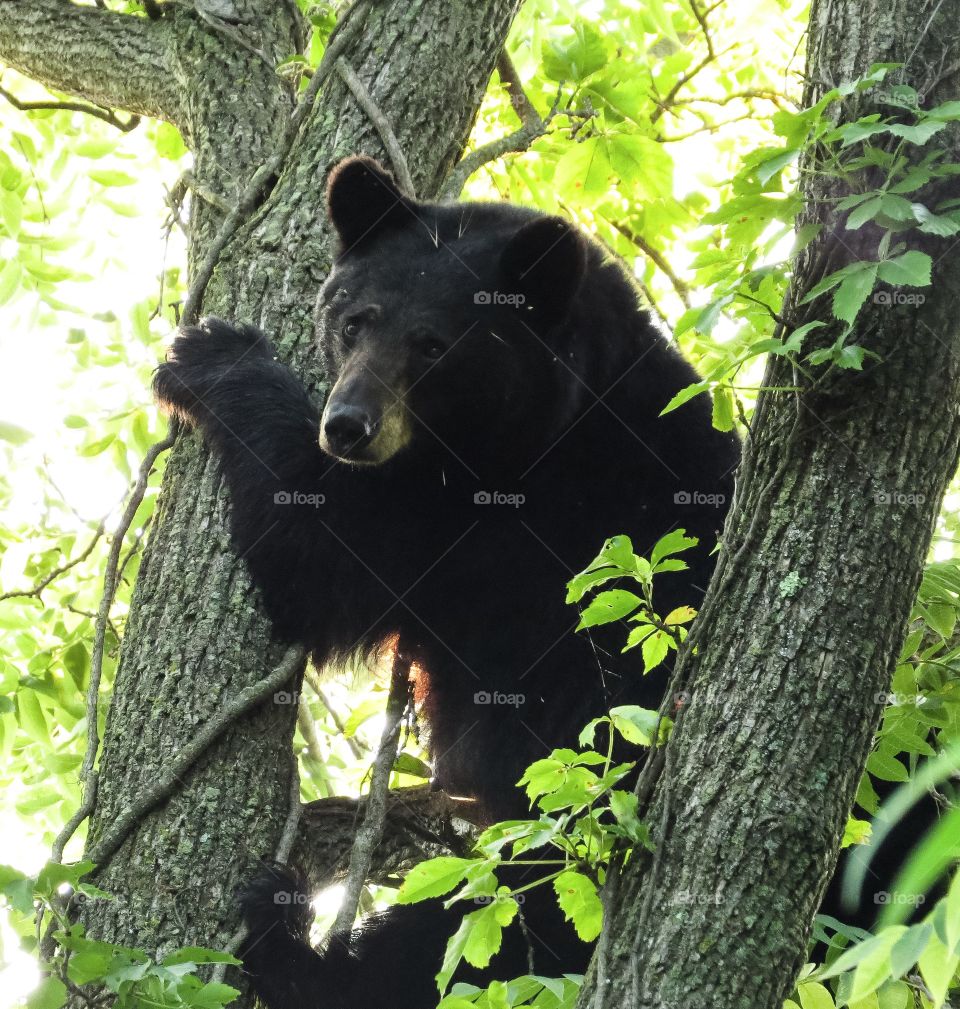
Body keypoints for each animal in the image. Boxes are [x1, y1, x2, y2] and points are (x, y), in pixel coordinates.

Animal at [155, 157, 734, 1008]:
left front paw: (213, 355)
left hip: (569, 818)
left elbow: (320, 556)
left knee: (470, 939)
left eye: (432, 344)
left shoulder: (486, 524)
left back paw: (293, 946)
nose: (347, 426)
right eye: (355, 319)